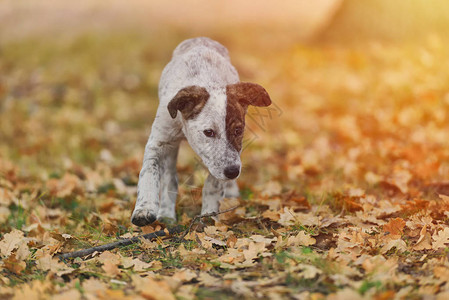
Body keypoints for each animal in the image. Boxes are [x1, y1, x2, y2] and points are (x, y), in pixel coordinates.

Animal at [130, 37, 270, 225]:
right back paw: (166, 214)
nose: (233, 172)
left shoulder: (226, 159)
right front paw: (145, 209)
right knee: (169, 177)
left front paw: (209, 215)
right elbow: (148, 173)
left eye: (238, 130)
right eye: (208, 132)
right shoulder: (159, 142)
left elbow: (213, 183)